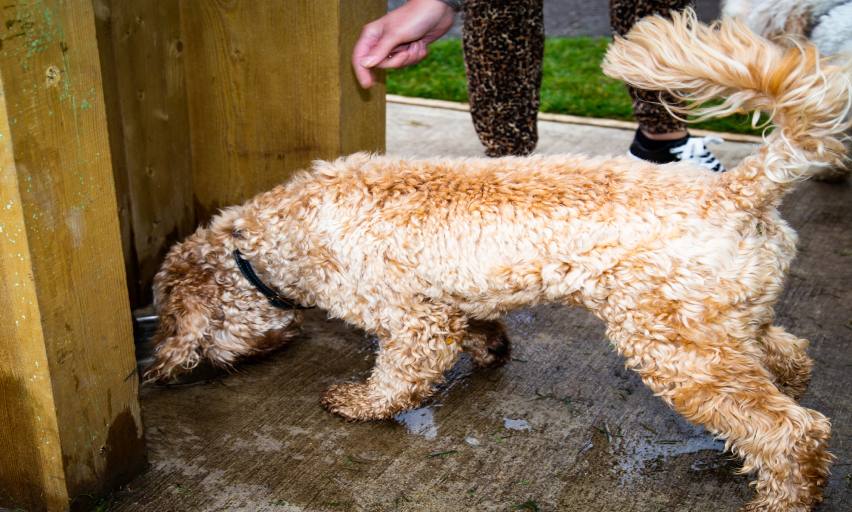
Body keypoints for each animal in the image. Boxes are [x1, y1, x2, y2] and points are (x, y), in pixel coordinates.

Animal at [146, 12, 844, 512]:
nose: (172, 368)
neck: (269, 239)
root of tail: (742, 188)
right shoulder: (450, 301)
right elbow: (478, 325)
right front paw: (490, 348)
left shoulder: (412, 323)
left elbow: (398, 377)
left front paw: (359, 403)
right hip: (724, 325)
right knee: (788, 357)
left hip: (676, 347)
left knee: (794, 432)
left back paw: (782, 497)